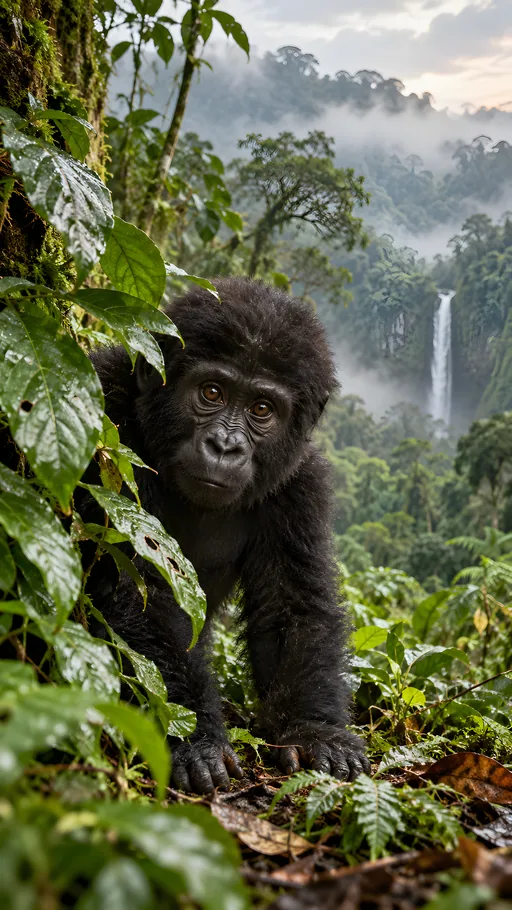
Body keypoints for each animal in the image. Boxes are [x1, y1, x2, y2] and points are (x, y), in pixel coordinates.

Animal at [86, 277, 369, 793]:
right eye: (212, 392)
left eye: (262, 408)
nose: (224, 445)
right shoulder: (107, 415)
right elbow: (142, 589)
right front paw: (195, 738)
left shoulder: (300, 486)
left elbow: (292, 606)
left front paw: (315, 729)